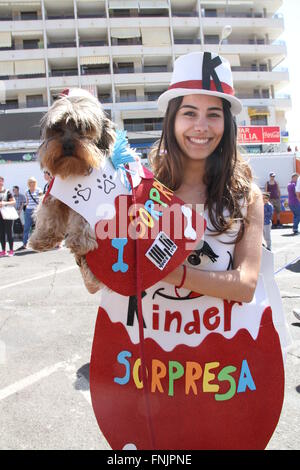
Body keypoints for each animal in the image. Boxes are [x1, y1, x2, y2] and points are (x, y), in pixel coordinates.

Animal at [29, 88, 116, 292]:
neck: (74, 170)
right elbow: (48, 212)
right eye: (57, 126)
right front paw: (42, 237)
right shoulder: (53, 193)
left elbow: (82, 218)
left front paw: (80, 241)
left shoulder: (92, 200)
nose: (68, 145)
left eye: (84, 127)